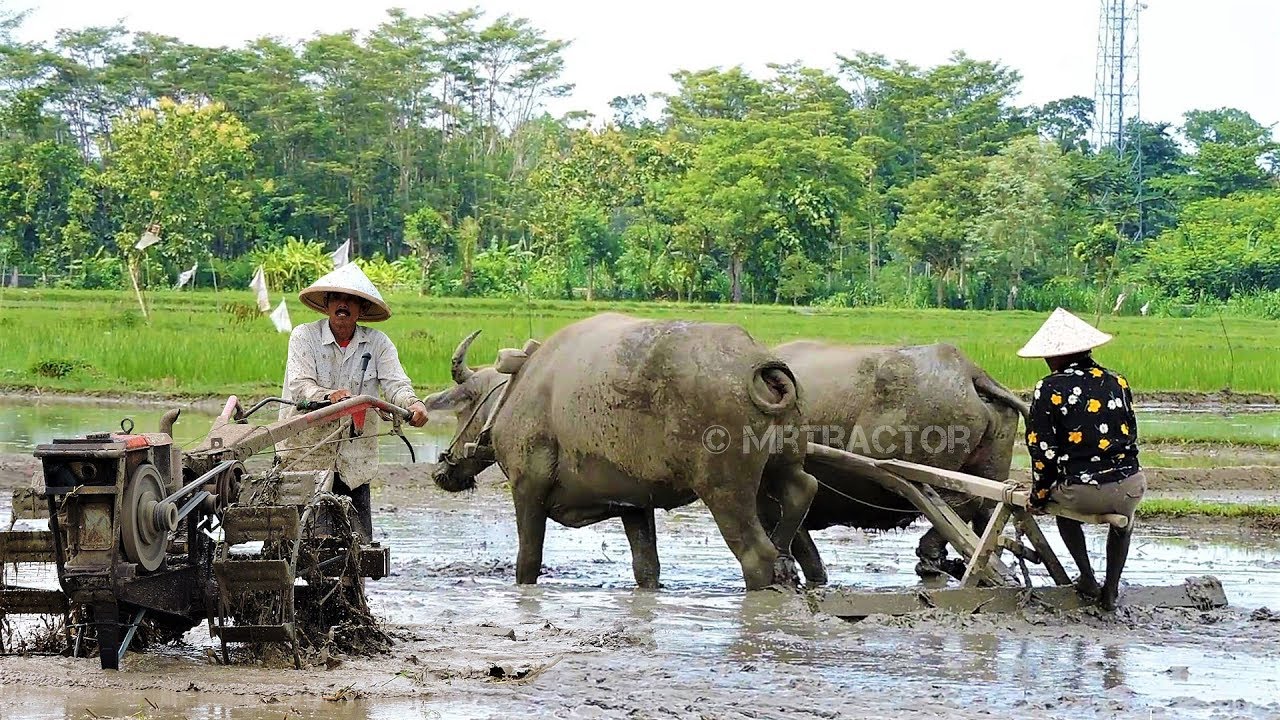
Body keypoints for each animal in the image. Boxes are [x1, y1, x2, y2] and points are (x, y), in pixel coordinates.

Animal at [422, 312, 819, 589]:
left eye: (461, 412)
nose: (442, 469)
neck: (519, 391)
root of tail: (759, 365)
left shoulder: (527, 489)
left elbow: (528, 560)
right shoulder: (635, 504)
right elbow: (646, 567)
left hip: (725, 490)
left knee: (756, 554)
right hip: (783, 463)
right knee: (803, 490)